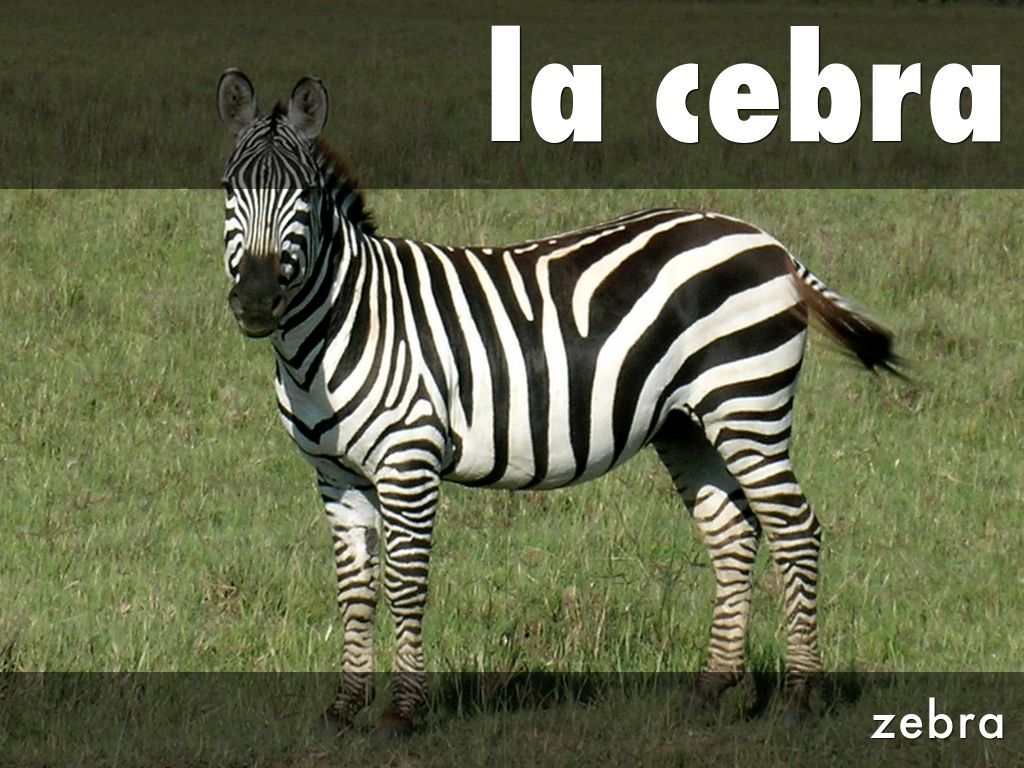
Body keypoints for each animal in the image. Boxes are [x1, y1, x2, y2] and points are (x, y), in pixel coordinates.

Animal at [216, 69, 899, 734]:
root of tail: (765, 241)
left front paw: (402, 712)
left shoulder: (409, 458)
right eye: (227, 189)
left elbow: (405, 584)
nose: (255, 301)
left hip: (746, 402)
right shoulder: (335, 475)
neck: (343, 322)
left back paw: (799, 699)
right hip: (687, 424)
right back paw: (708, 691)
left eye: (305, 195)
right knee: (733, 533)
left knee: (795, 530)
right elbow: (354, 591)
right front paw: (344, 707)